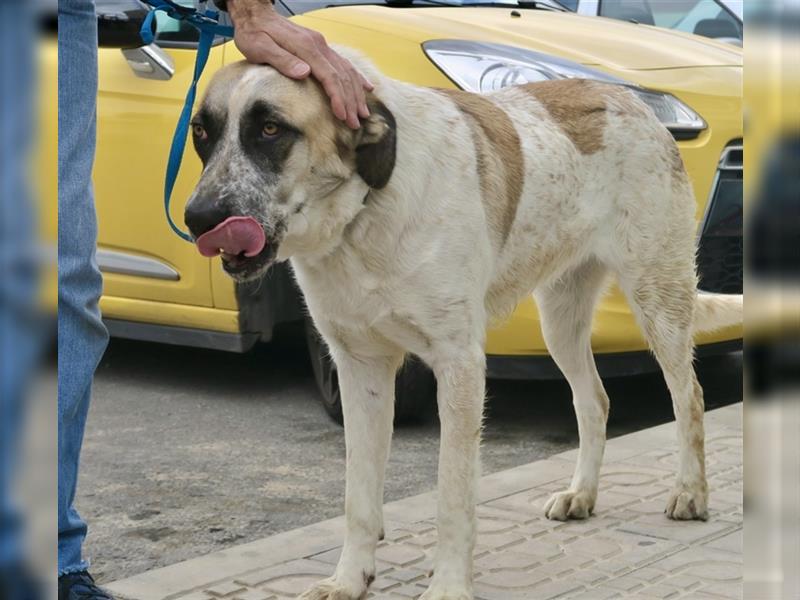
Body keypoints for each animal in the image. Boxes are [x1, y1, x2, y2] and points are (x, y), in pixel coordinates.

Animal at [183, 48, 744, 600]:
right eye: (202, 133)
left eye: (271, 129)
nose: (198, 218)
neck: (364, 212)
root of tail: (628, 98)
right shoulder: (360, 368)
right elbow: (358, 496)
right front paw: (349, 579)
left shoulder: (459, 365)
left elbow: (453, 497)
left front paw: (449, 587)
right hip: (560, 321)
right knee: (595, 401)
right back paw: (581, 494)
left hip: (656, 297)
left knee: (688, 395)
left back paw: (690, 493)